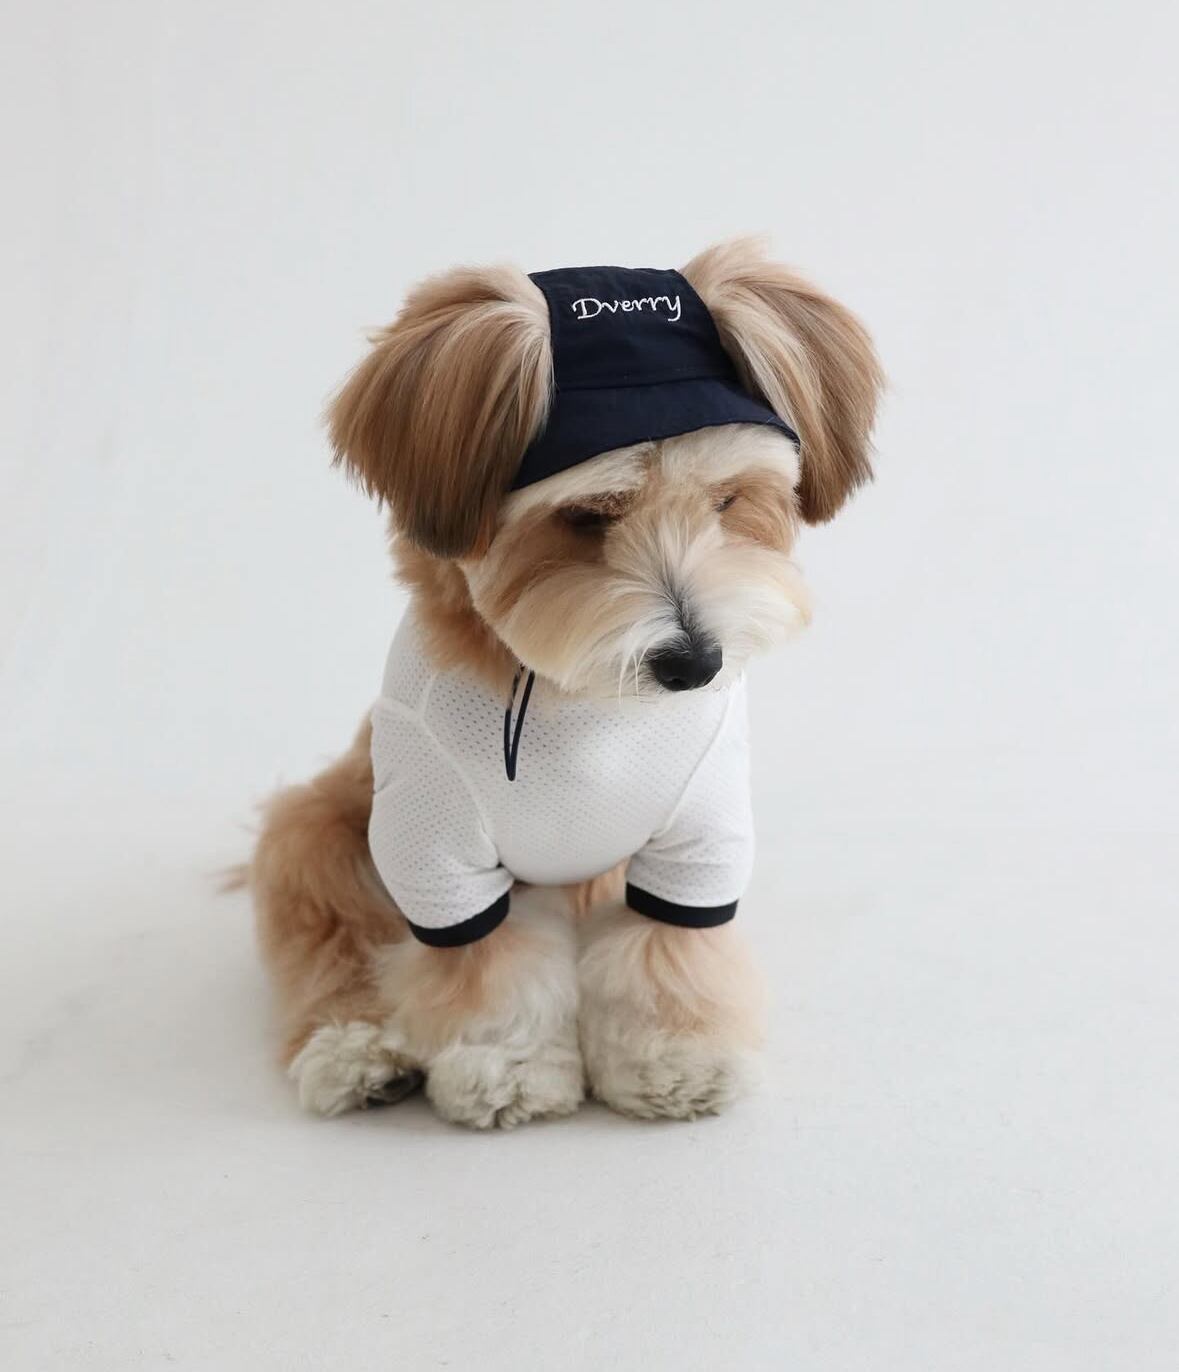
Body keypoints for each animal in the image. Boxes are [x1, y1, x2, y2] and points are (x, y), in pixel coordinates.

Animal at [247, 238, 882, 1127]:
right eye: (586, 517)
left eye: (726, 503)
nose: (694, 663)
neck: (582, 703)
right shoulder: (437, 858)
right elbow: (488, 968)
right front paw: (506, 1067)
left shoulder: (698, 839)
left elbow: (668, 951)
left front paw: (674, 1055)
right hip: (318, 836)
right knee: (333, 948)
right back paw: (357, 1051)